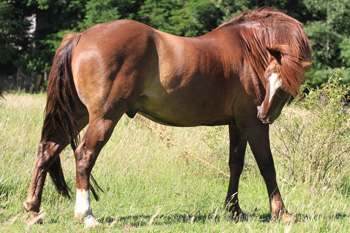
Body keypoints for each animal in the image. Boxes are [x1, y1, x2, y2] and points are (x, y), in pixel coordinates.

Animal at [23, 8, 312, 227]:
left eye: (284, 84)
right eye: (271, 78)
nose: (265, 115)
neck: (247, 50)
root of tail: (80, 37)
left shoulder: (237, 124)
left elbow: (236, 165)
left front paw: (234, 210)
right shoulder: (251, 124)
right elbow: (267, 165)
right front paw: (281, 213)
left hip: (76, 115)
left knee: (48, 150)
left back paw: (34, 211)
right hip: (104, 117)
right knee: (84, 155)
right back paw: (87, 215)